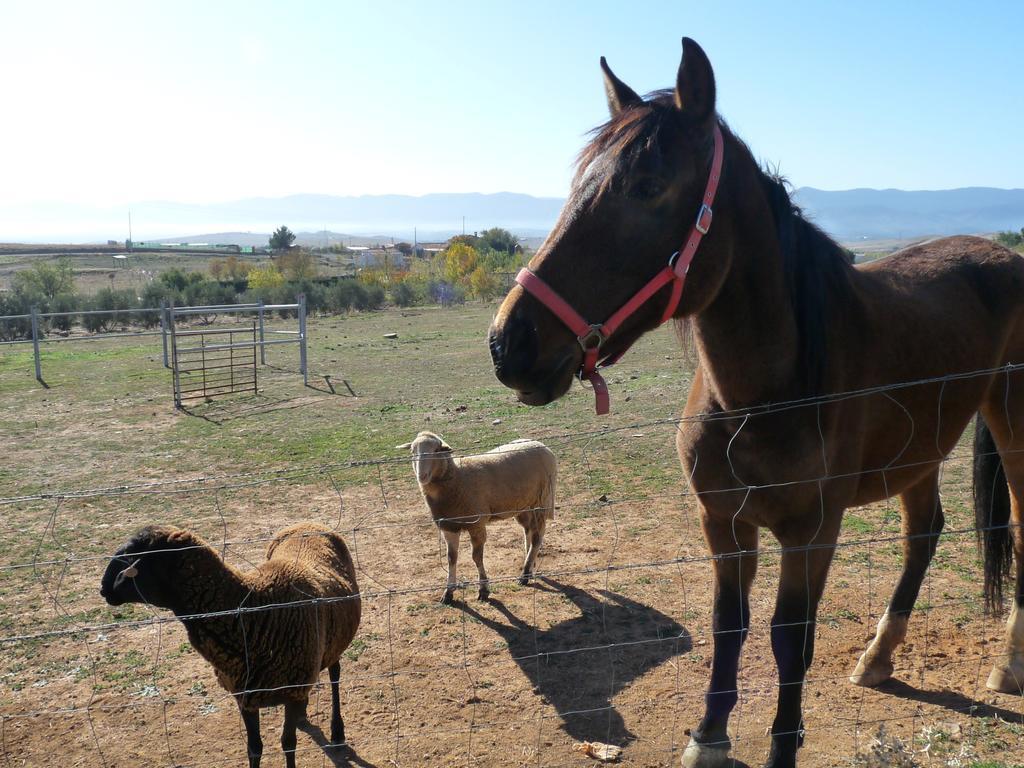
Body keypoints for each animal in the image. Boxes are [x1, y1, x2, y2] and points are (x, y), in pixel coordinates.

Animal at [399, 430, 561, 606]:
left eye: (436, 450)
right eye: (412, 451)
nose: (421, 476)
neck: (457, 479)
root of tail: (542, 445)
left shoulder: (476, 523)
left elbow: (476, 557)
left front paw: (483, 589)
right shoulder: (449, 526)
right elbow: (451, 558)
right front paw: (448, 592)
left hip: (542, 500)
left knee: (537, 537)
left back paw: (524, 575)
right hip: (524, 505)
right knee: (529, 532)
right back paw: (529, 566)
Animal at [485, 39, 1024, 768]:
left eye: (648, 187)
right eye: (577, 184)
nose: (508, 342)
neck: (759, 398)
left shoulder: (812, 532)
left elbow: (789, 637)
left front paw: (781, 745)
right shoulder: (723, 523)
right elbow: (729, 626)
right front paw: (709, 734)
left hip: (1014, 424)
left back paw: (1007, 664)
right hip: (920, 450)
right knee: (924, 531)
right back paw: (879, 656)